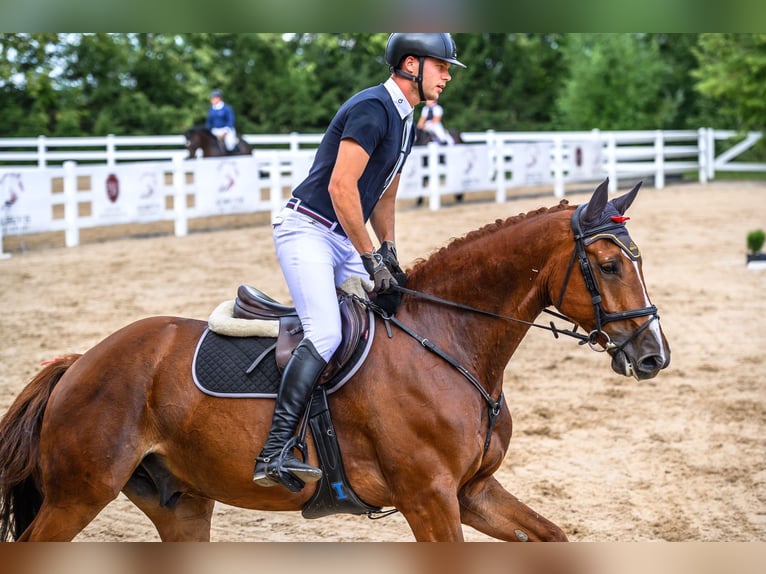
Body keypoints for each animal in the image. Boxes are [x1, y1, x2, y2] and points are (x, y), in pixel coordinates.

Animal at [0, 181, 672, 544]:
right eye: (609, 265)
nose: (653, 355)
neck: (448, 340)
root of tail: (80, 361)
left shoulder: (473, 491)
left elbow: (551, 535)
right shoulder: (430, 498)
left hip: (180, 504)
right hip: (79, 494)